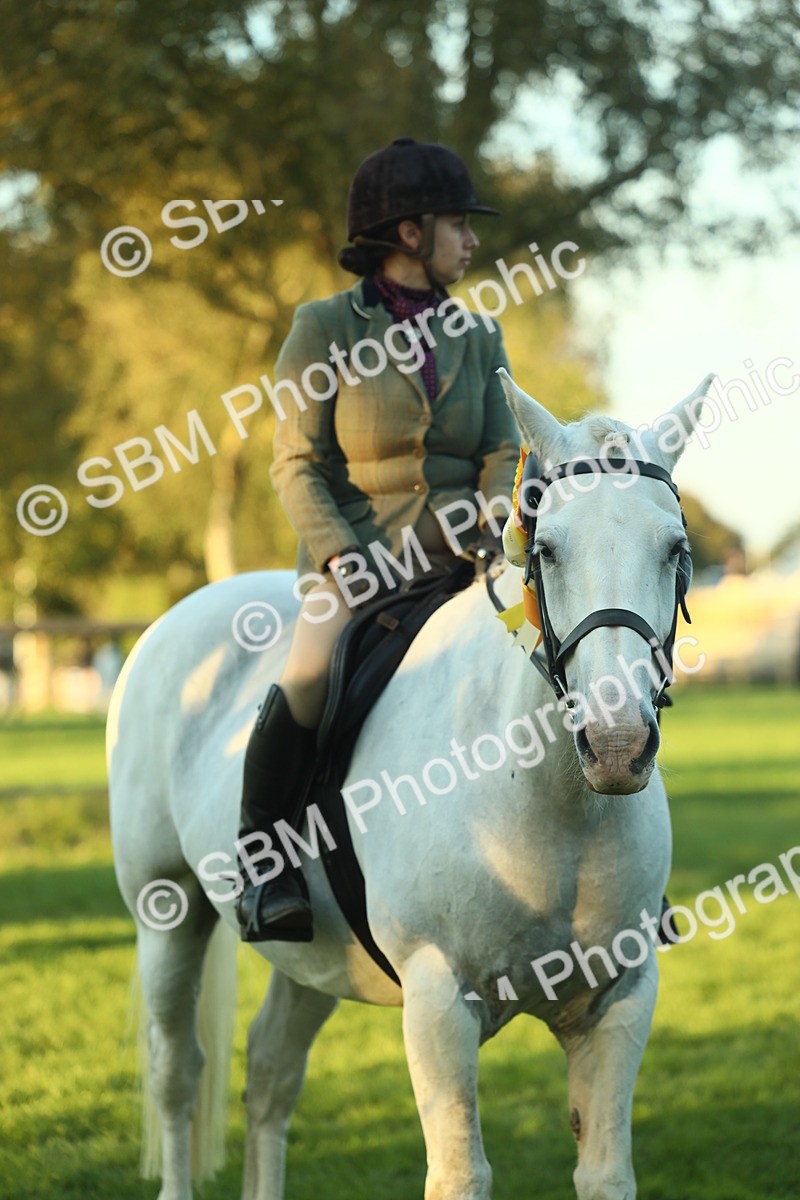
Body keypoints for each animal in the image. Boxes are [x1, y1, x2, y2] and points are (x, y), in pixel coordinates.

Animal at [108, 370, 711, 1200]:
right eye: (549, 550)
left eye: (674, 549)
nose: (617, 745)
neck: (546, 802)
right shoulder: (436, 1004)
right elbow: (459, 1174)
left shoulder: (619, 1001)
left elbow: (605, 1173)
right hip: (166, 914)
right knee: (177, 1073)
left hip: (313, 956)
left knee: (270, 1072)